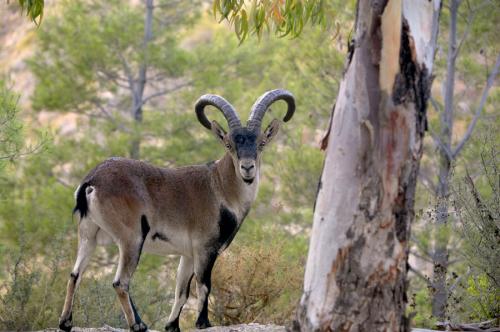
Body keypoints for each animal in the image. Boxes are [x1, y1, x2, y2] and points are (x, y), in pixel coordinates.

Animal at [57, 89, 294, 332]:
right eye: (229, 145)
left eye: (261, 143)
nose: (247, 168)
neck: (220, 187)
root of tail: (91, 182)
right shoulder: (204, 249)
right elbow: (204, 285)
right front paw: (203, 322)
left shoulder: (187, 255)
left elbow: (181, 291)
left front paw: (172, 325)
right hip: (131, 238)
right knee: (120, 282)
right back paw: (137, 325)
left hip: (88, 233)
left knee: (75, 274)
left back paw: (66, 322)